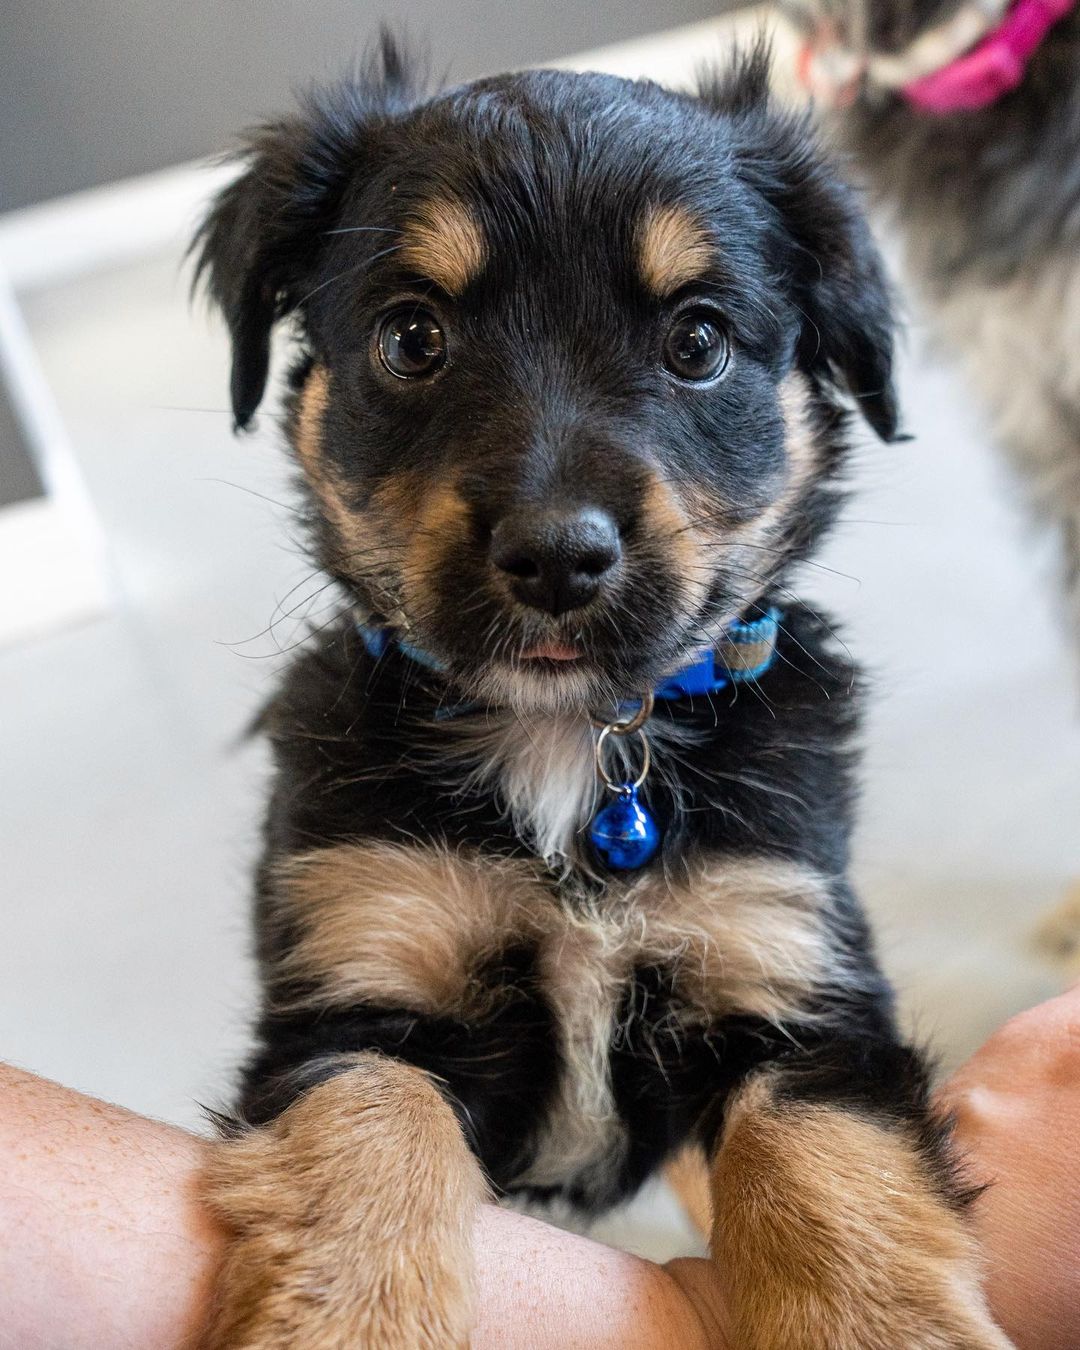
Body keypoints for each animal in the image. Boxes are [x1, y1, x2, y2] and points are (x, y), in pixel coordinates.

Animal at [194, 39, 1015, 1350]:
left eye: (699, 340)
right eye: (412, 336)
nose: (556, 556)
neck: (574, 745)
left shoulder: (797, 981)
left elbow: (828, 1170)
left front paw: (876, 1322)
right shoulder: (355, 987)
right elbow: (369, 1136)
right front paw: (350, 1318)